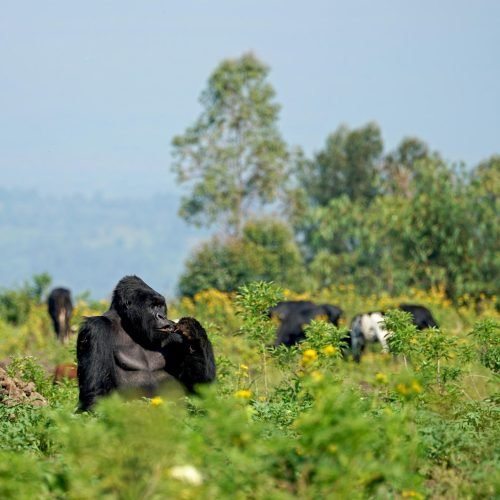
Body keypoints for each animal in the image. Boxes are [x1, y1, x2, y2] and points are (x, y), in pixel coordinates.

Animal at [76, 276, 215, 412]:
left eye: (160, 306)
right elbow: (96, 392)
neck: (128, 325)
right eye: (152, 306)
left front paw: (194, 332)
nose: (161, 316)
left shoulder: (173, 332)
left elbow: (199, 387)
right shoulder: (96, 328)